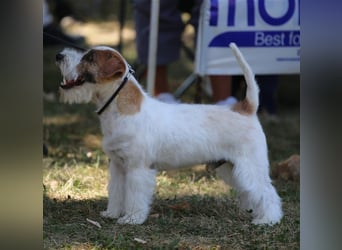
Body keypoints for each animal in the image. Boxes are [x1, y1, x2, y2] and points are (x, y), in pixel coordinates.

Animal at [54, 42, 282, 225]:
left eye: (89, 58)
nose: (59, 55)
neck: (120, 110)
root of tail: (246, 108)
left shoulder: (137, 169)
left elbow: (135, 196)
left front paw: (131, 219)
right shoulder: (118, 167)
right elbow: (116, 193)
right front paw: (112, 213)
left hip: (250, 167)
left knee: (267, 192)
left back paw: (268, 220)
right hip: (231, 167)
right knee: (251, 192)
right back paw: (253, 212)